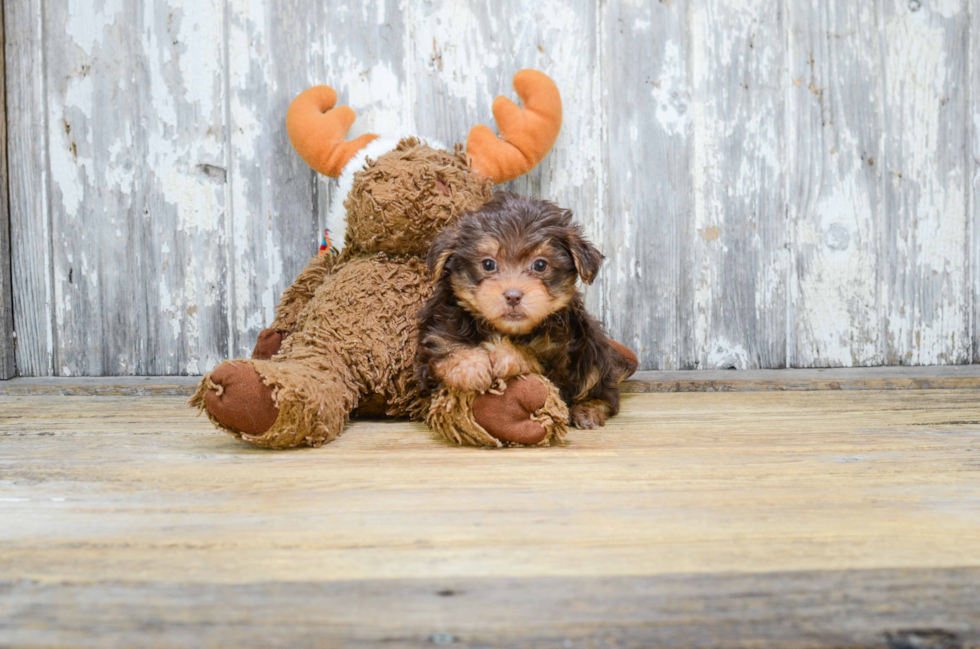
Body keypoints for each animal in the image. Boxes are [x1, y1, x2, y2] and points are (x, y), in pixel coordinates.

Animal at [418, 190, 624, 428]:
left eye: (540, 265)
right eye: (488, 264)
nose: (513, 295)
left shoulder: (556, 354)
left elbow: (531, 354)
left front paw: (503, 354)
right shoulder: (438, 328)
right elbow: (445, 346)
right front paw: (471, 367)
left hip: (594, 350)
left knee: (604, 391)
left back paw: (588, 410)